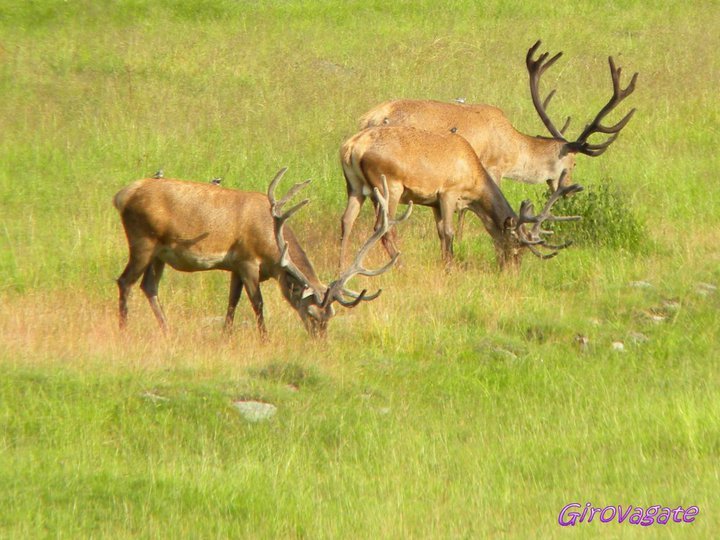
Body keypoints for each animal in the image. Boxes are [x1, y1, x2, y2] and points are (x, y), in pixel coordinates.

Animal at [116, 168, 414, 338]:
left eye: (331, 316)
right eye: (312, 314)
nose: (321, 342)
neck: (272, 250)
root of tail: (121, 195)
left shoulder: (235, 265)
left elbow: (232, 302)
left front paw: (226, 336)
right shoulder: (248, 260)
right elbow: (258, 304)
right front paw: (264, 338)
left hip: (159, 254)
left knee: (148, 286)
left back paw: (167, 331)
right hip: (142, 240)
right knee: (125, 281)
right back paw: (124, 330)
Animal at [340, 125, 584, 270]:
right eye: (514, 245)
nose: (511, 270)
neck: (473, 182)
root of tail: (352, 147)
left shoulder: (433, 203)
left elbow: (440, 232)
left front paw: (444, 261)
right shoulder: (448, 192)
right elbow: (449, 232)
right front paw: (450, 266)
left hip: (354, 186)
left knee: (346, 220)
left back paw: (342, 266)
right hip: (390, 186)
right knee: (383, 227)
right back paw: (400, 264)